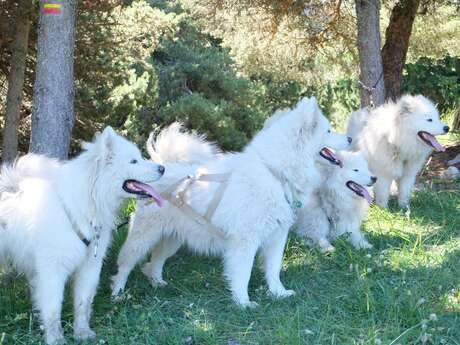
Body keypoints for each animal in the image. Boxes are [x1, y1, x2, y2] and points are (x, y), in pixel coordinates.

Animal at [0, 126, 164, 344]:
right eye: (134, 161)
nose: (162, 168)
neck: (85, 206)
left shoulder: (91, 265)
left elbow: (83, 302)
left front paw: (82, 332)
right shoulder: (53, 270)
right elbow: (53, 308)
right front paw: (55, 339)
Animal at [111, 97, 352, 306]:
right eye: (328, 130)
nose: (350, 138)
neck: (275, 174)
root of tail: (160, 167)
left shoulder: (276, 236)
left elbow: (273, 270)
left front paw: (279, 293)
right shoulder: (245, 240)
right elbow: (243, 273)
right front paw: (243, 303)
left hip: (172, 238)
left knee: (155, 261)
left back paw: (157, 282)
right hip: (143, 237)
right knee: (124, 265)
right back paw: (117, 293)